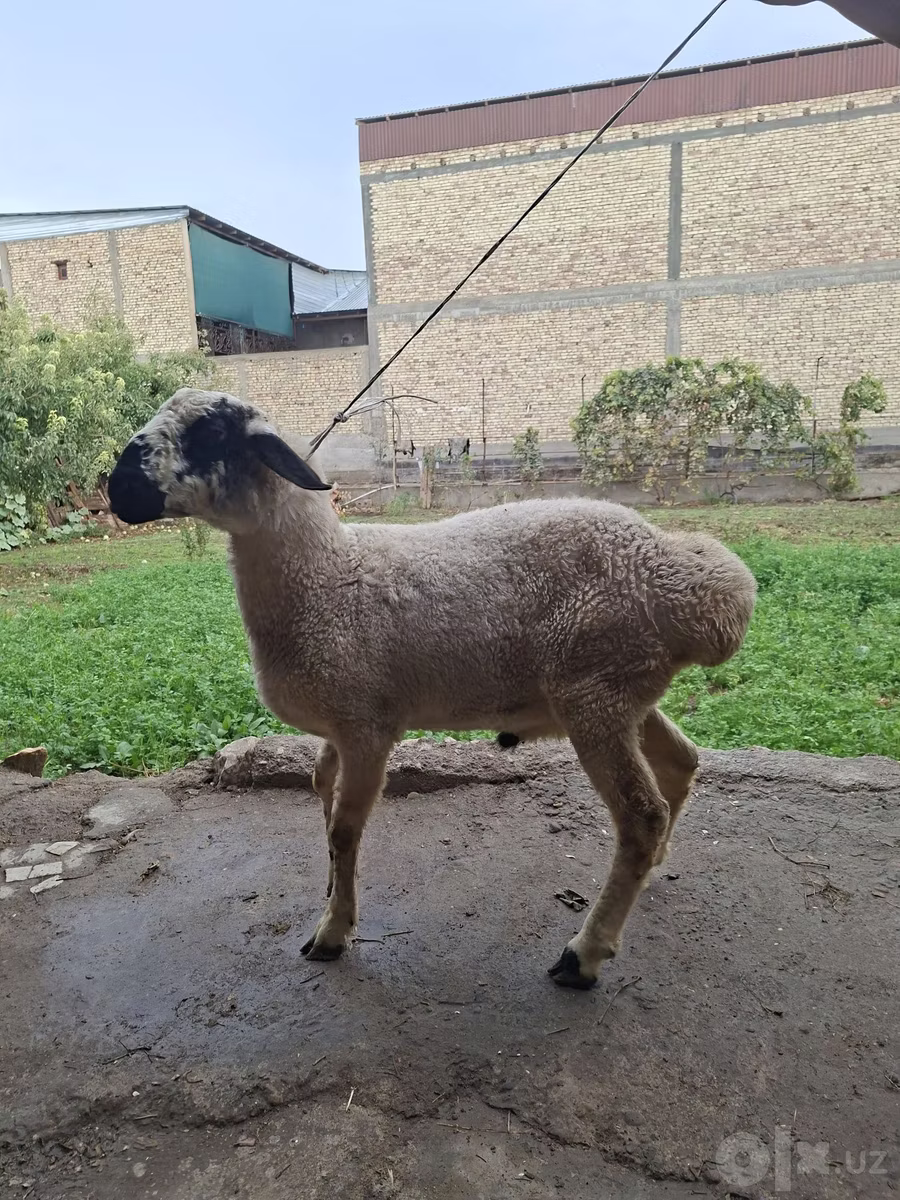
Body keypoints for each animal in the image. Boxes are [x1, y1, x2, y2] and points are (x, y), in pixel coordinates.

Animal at [108, 388, 757, 989]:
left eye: (211, 432)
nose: (116, 487)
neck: (328, 576)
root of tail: (698, 585)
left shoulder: (368, 726)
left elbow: (345, 826)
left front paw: (333, 931)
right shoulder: (340, 723)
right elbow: (321, 790)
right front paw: (329, 889)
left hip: (596, 693)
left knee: (641, 816)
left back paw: (583, 955)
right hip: (621, 691)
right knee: (682, 761)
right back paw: (655, 868)